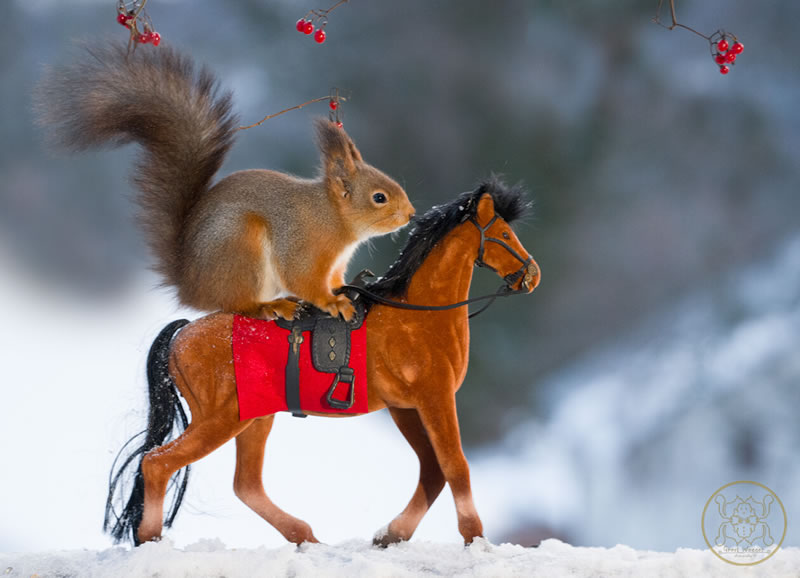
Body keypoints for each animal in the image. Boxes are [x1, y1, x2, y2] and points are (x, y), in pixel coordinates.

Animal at [36, 41, 412, 320]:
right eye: (379, 197)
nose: (410, 214)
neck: (332, 217)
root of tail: (190, 286)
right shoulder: (302, 245)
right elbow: (302, 278)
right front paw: (331, 302)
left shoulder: (334, 264)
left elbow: (332, 280)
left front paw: (345, 289)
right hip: (239, 245)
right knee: (237, 305)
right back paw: (270, 305)